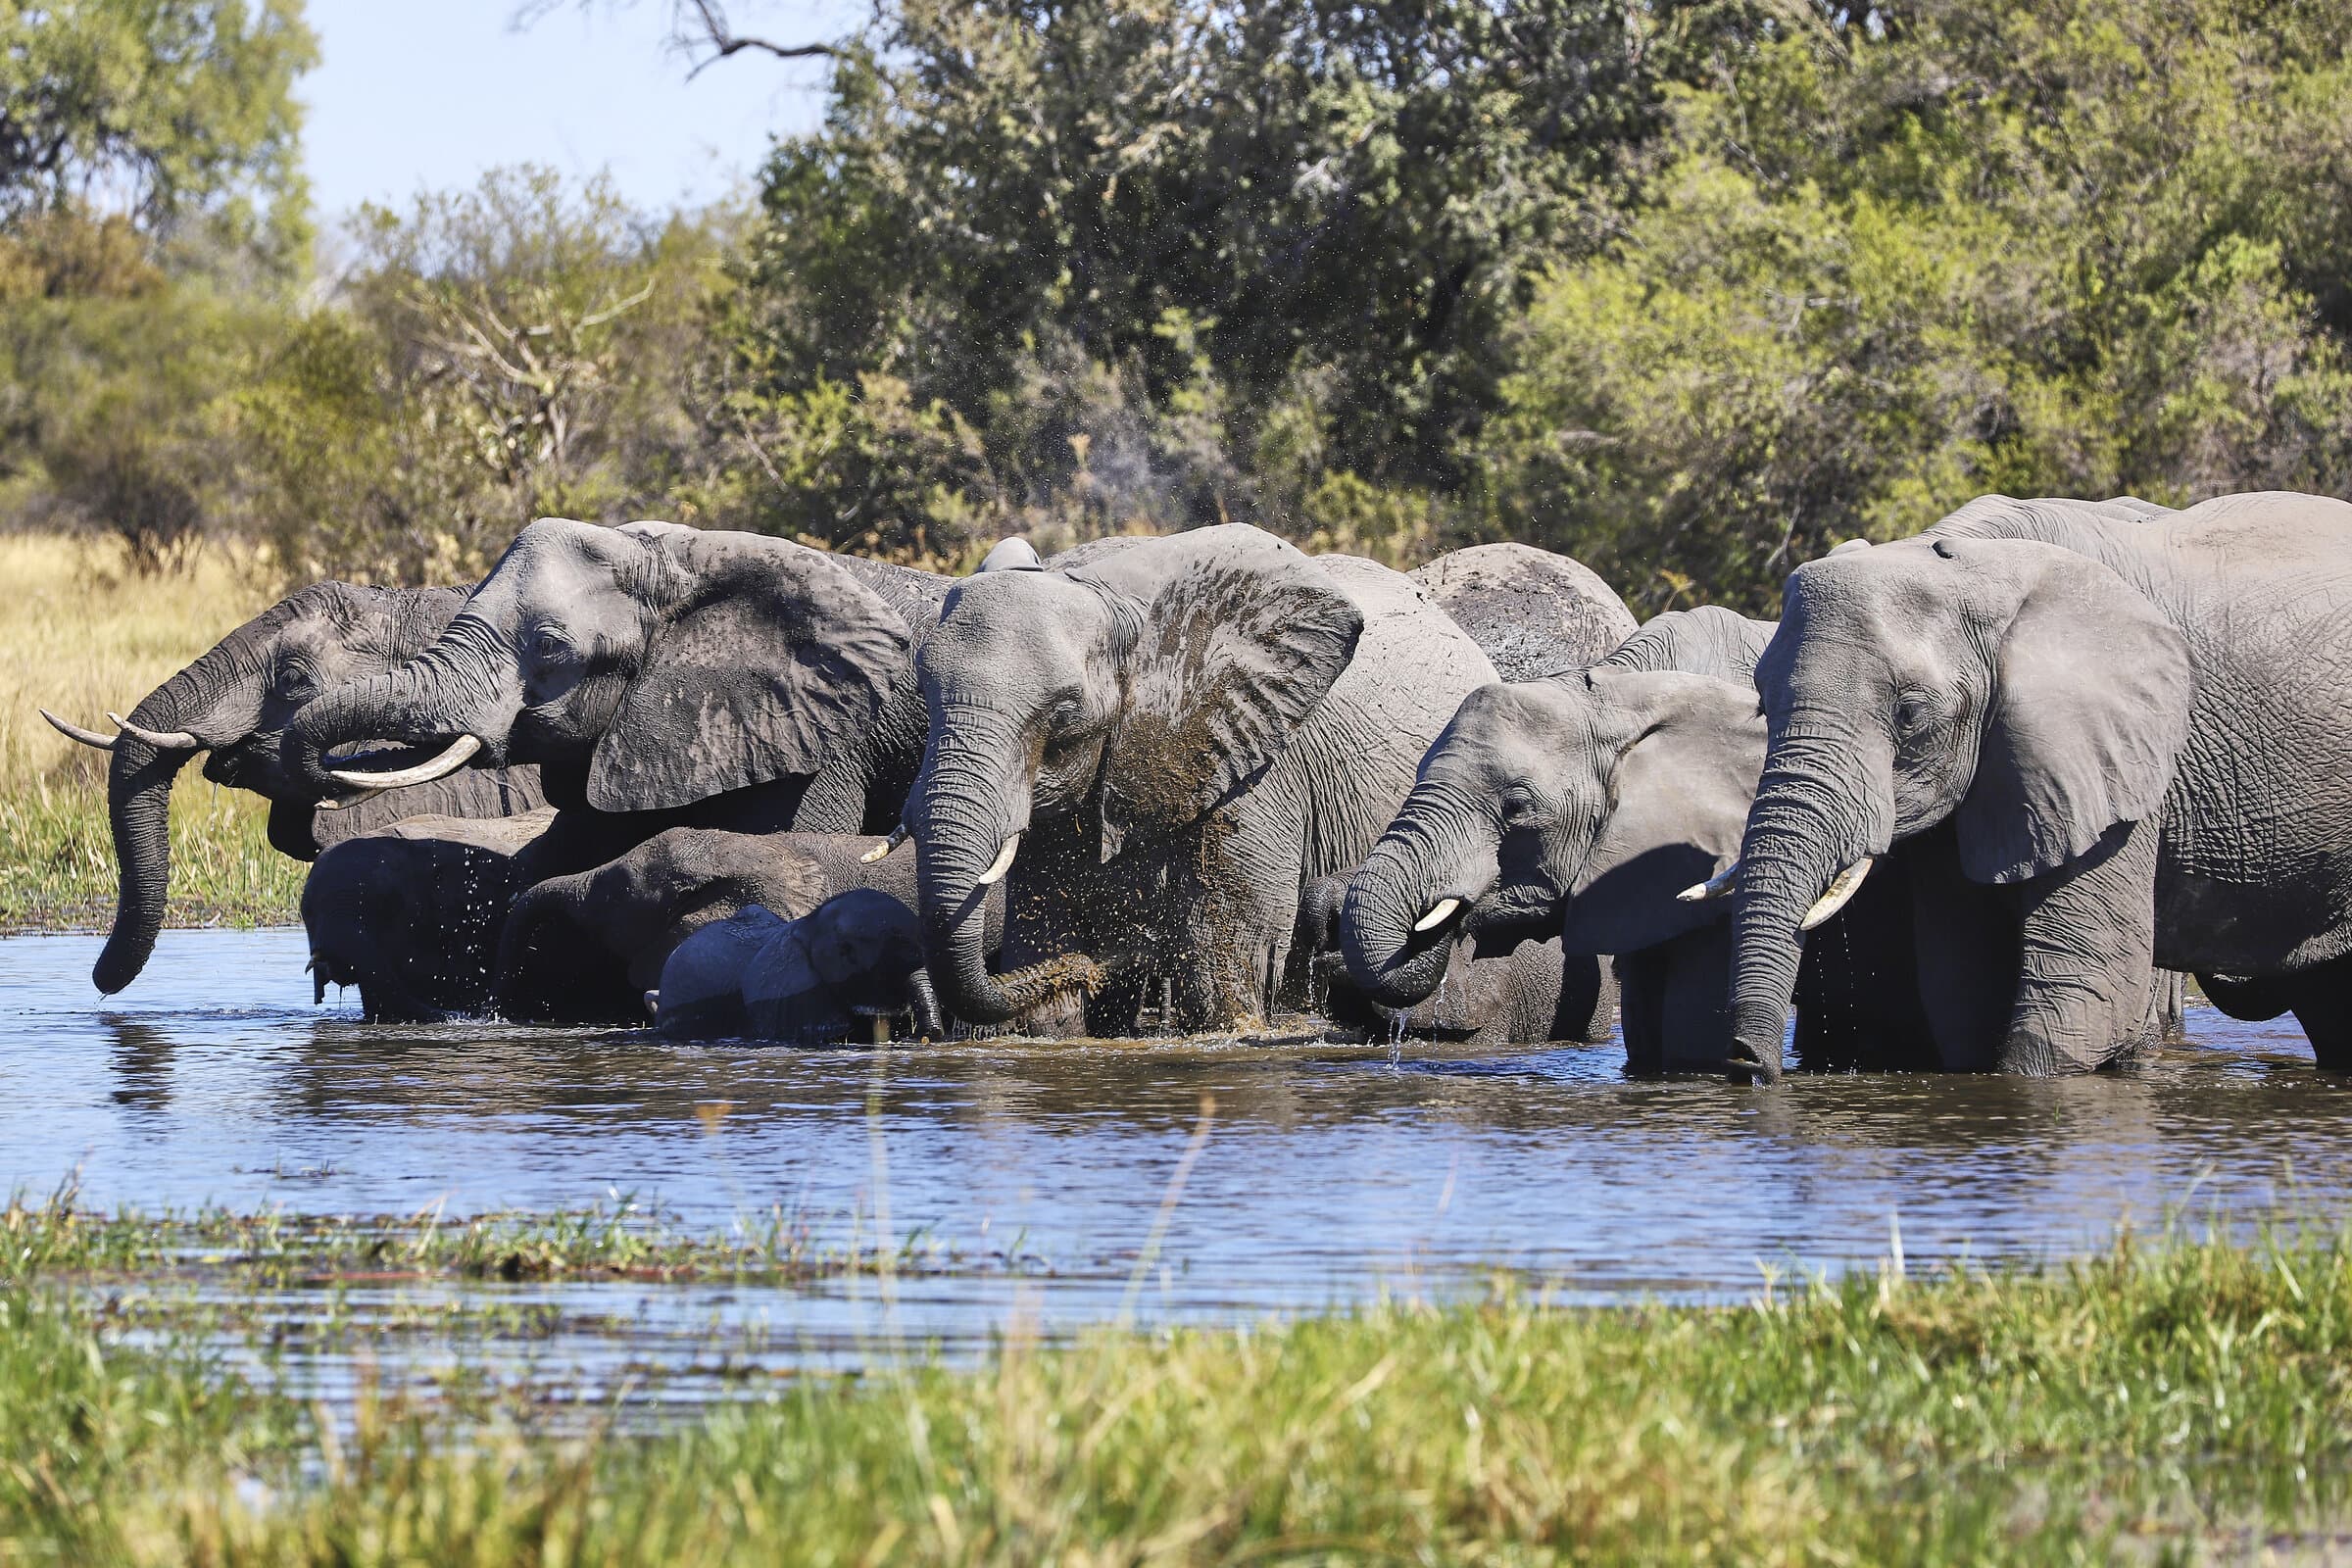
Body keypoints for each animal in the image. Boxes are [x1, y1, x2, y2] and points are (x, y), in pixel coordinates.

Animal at [907, 523, 1498, 1036]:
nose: (1100, 964)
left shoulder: (1253, 761)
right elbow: (1043, 961)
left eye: (1066, 713)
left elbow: (1228, 975)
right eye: (924, 695)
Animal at [1724, 490, 2352, 1080]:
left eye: (1909, 714)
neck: (1978, 566)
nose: (1748, 1063)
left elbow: (2085, 994)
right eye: (1762, 705)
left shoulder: (2121, 765)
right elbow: (1964, 992)